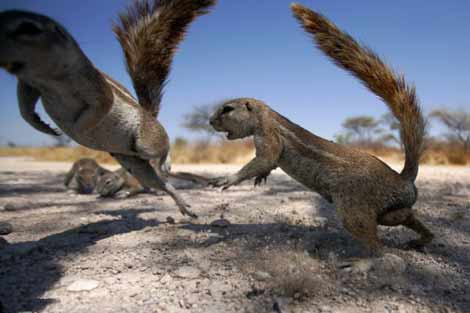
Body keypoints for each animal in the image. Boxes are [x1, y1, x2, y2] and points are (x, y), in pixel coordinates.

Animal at [0, 0, 217, 217]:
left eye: (28, 28)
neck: (48, 79)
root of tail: (148, 114)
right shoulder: (29, 84)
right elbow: (24, 107)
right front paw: (41, 124)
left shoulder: (96, 86)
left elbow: (101, 105)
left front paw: (77, 130)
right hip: (133, 163)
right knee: (161, 184)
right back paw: (181, 203)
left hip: (146, 143)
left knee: (163, 148)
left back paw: (166, 164)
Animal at [209, 3, 434, 250]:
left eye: (227, 109)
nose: (209, 121)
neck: (265, 116)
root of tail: (404, 180)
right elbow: (268, 164)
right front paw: (261, 177)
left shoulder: (269, 134)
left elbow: (265, 159)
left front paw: (228, 179)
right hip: (387, 211)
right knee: (404, 216)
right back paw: (423, 238)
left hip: (353, 209)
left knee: (377, 243)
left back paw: (361, 257)